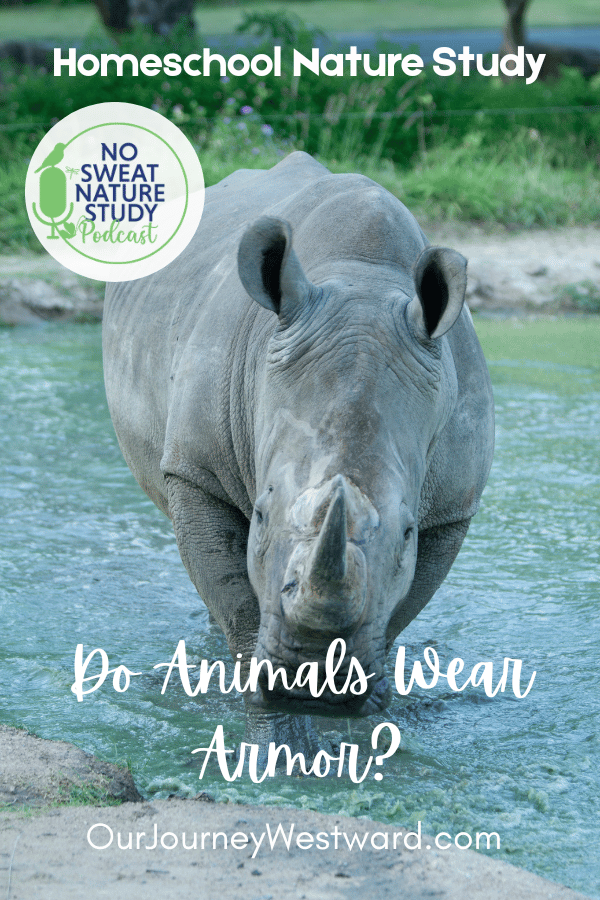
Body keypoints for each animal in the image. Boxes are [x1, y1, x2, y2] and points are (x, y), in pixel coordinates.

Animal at [103, 151, 494, 755]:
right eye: (262, 515)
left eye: (408, 532)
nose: (314, 682)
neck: (361, 277)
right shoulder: (196, 472)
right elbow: (241, 610)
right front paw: (276, 749)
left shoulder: (450, 507)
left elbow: (394, 613)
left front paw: (355, 734)